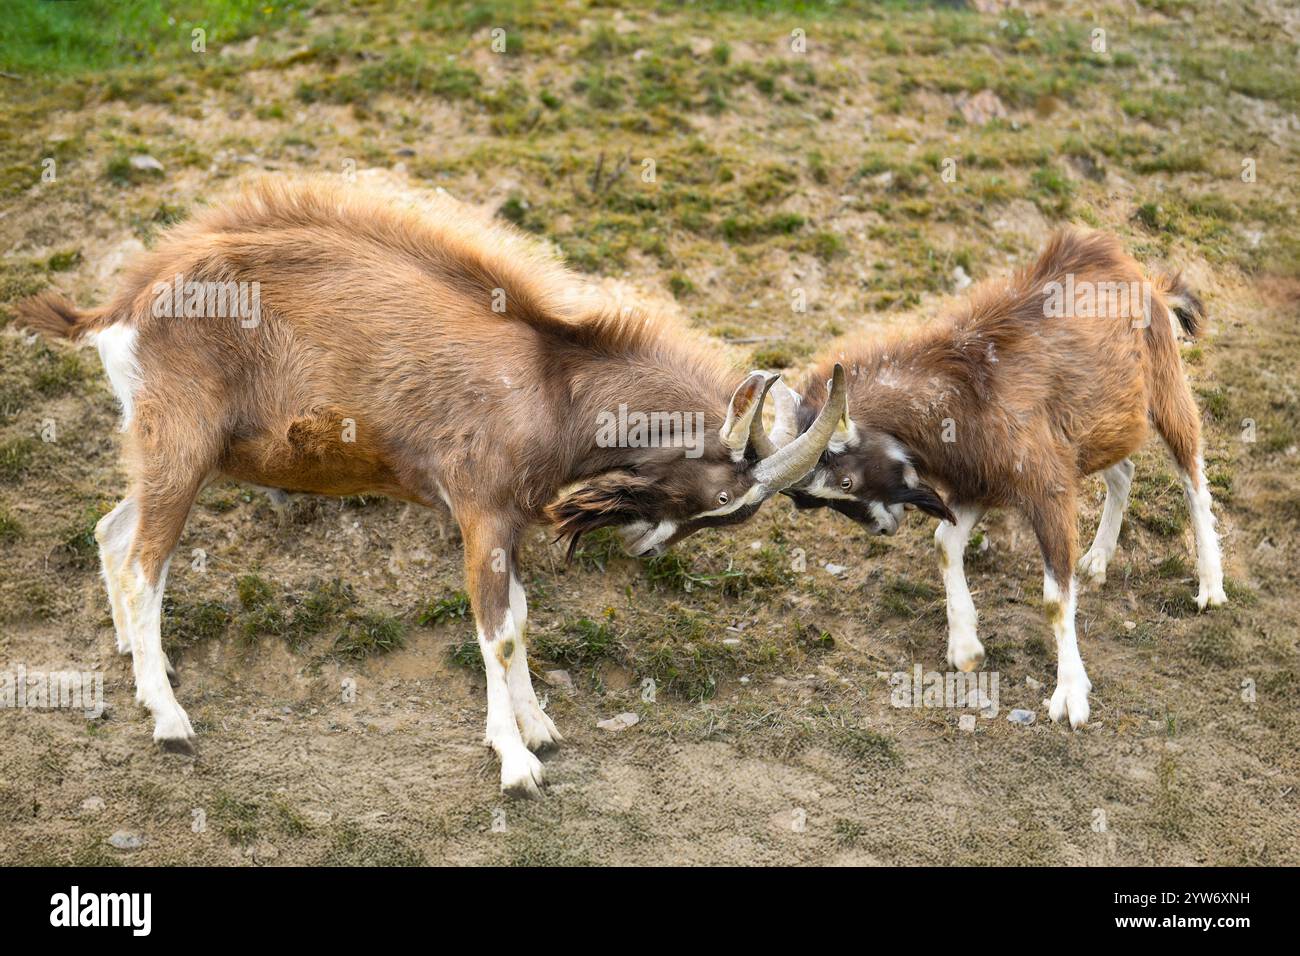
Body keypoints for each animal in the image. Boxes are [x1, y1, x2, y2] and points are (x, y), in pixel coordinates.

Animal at [25, 180, 852, 801]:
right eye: (723, 500)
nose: (647, 549)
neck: (551, 383)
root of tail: (119, 310)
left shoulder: (510, 523)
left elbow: (519, 614)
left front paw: (538, 725)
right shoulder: (481, 514)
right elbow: (498, 629)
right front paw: (516, 764)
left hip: (170, 455)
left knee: (113, 532)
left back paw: (145, 669)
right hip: (181, 448)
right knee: (145, 564)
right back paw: (169, 721)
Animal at [759, 227, 1222, 728]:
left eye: (844, 483)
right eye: (816, 500)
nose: (883, 528)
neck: (966, 390)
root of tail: (1141, 276)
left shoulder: (1047, 488)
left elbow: (1054, 597)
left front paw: (1070, 696)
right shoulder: (979, 485)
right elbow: (944, 543)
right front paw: (966, 649)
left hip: (1165, 388)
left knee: (1192, 474)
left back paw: (1210, 587)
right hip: (1098, 427)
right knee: (1124, 471)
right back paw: (1098, 560)